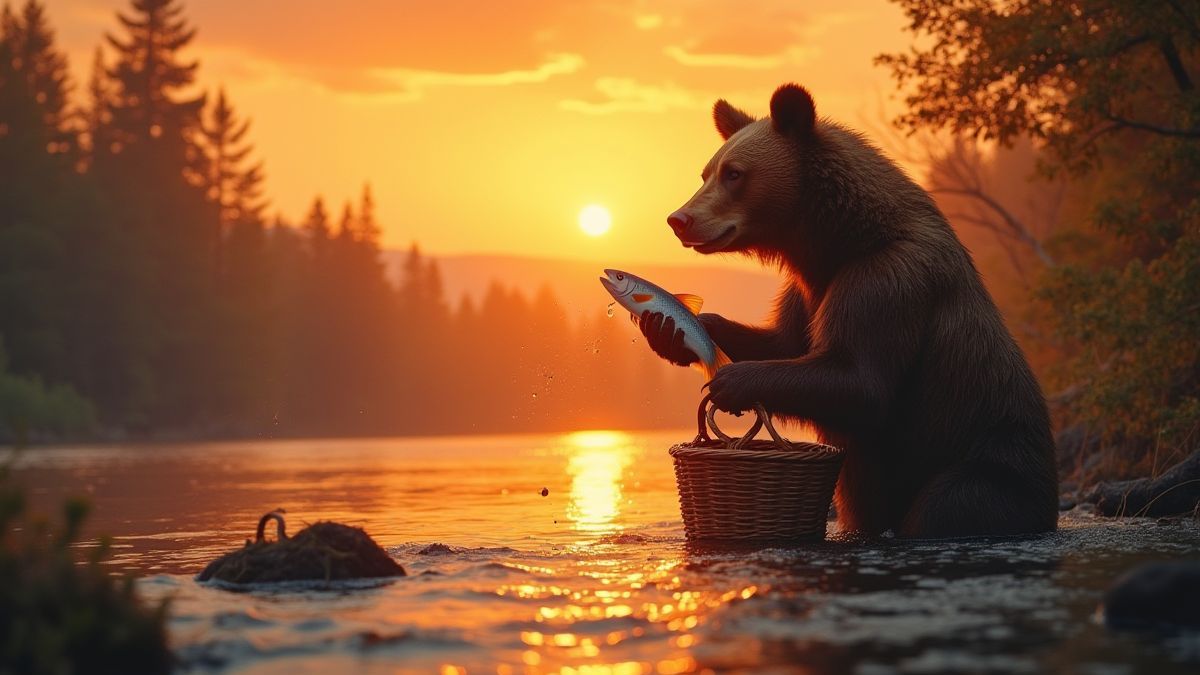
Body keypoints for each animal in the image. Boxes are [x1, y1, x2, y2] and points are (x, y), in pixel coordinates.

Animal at [639, 83, 1059, 538]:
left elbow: (859, 378)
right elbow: (785, 342)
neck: (839, 240)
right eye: (707, 173)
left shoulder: (885, 279)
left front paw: (733, 380)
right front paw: (672, 329)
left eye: (734, 173)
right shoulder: (809, 287)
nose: (679, 219)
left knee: (946, 505)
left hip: (987, 461)